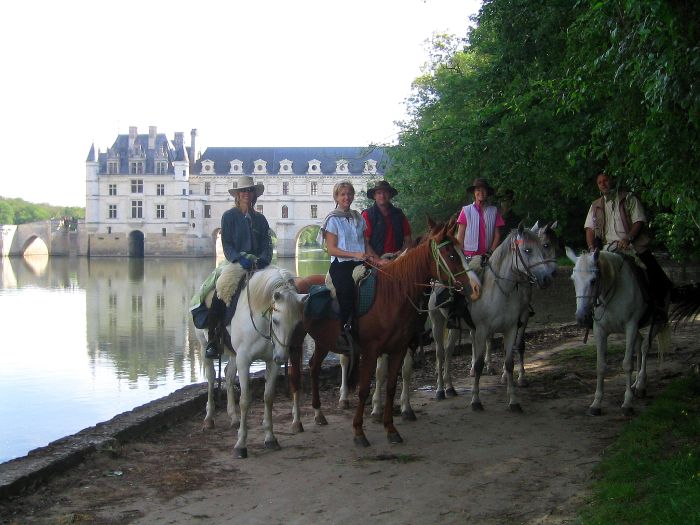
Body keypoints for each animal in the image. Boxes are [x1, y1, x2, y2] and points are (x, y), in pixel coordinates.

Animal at [197, 268, 306, 456]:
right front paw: (241, 444)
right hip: (205, 346)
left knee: (228, 375)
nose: (282, 357)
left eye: (297, 323)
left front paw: (270, 438)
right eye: (276, 321)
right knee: (211, 378)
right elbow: (245, 400)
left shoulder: (270, 362)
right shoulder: (244, 360)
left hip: (234, 354)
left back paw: (233, 417)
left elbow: (268, 397)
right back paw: (209, 418)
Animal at [288, 219, 476, 444]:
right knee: (296, 376)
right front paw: (359, 431)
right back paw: (297, 421)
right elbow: (364, 389)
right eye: (451, 255)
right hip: (297, 342)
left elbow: (392, 385)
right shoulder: (371, 351)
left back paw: (318, 414)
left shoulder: (399, 348)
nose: (473, 287)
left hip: (323, 341)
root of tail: (299, 283)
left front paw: (391, 428)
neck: (392, 295)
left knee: (314, 367)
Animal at [430, 224, 556, 410]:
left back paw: (450, 388)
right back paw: (440, 390)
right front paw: (476, 401)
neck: (500, 291)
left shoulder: (511, 328)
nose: (547, 278)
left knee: (449, 351)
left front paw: (514, 401)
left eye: (543, 247)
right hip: (437, 321)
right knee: (440, 354)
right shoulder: (482, 330)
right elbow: (479, 364)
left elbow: (510, 362)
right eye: (527, 250)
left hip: (454, 326)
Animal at [568, 246, 668, 414]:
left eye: (593, 281)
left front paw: (627, 403)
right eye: (573, 280)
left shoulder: (631, 326)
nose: (581, 317)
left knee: (645, 347)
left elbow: (627, 364)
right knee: (639, 345)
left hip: (657, 323)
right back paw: (635, 384)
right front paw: (596, 404)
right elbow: (600, 366)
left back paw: (641, 385)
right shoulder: (600, 331)